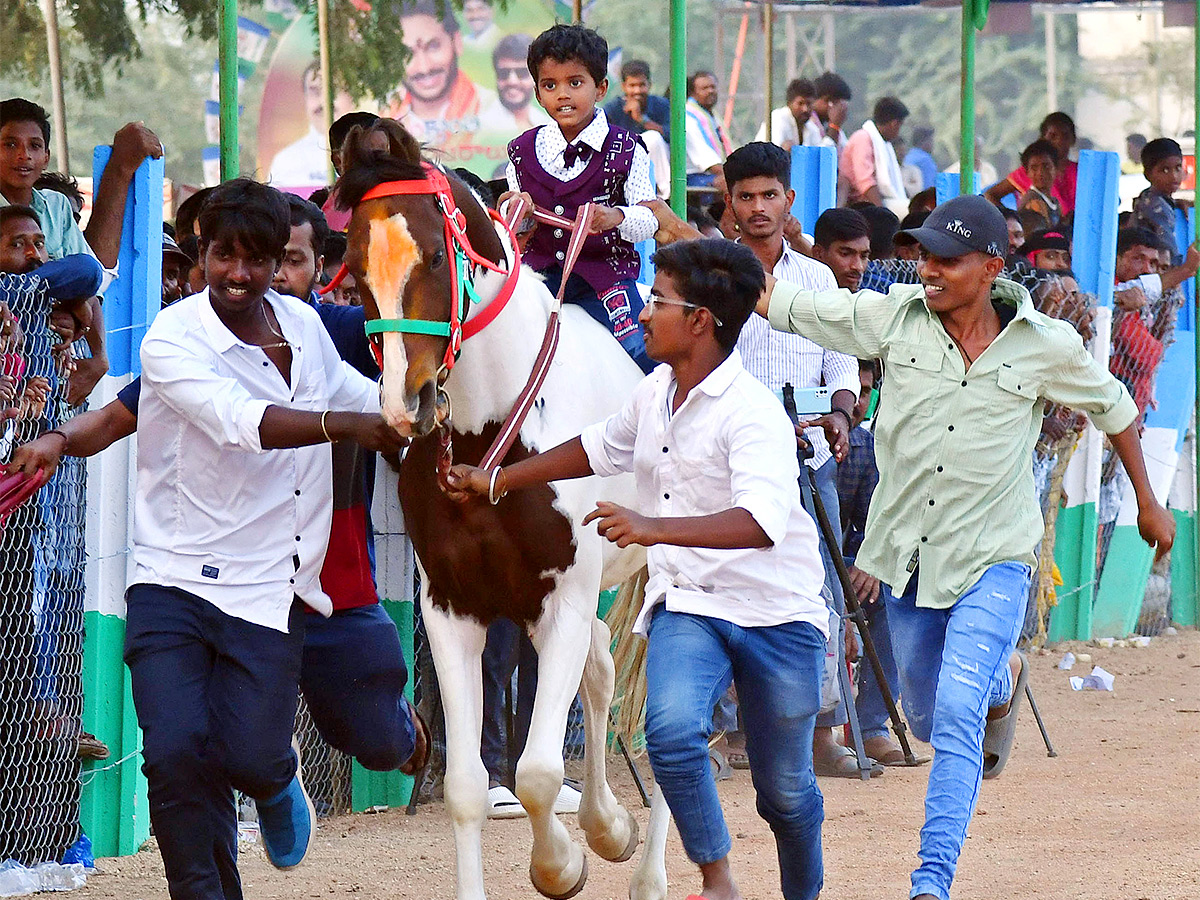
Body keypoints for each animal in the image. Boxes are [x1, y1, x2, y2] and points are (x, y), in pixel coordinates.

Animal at [336, 121, 676, 900]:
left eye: (436, 255)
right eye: (355, 270)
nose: (406, 404)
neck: (488, 435)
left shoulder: (562, 603)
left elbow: (539, 773)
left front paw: (563, 865)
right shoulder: (453, 608)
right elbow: (469, 786)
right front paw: (596, 835)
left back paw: (646, 871)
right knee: (604, 669)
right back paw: (612, 825)